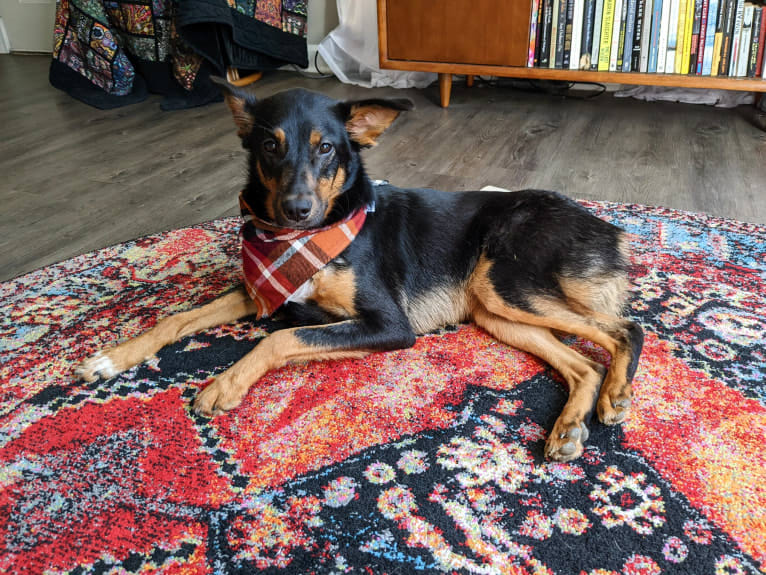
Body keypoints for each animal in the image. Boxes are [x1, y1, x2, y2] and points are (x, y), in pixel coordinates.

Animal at [76, 80, 640, 464]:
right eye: (269, 145)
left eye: (326, 146)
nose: (296, 209)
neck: (301, 240)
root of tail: (603, 226)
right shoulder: (259, 292)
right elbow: (177, 319)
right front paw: (111, 359)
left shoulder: (390, 324)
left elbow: (278, 338)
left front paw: (224, 384)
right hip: (496, 312)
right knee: (583, 364)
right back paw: (569, 427)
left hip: (502, 282)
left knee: (626, 329)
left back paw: (615, 393)